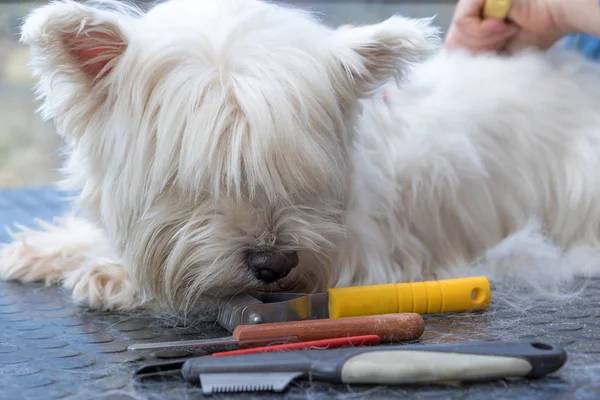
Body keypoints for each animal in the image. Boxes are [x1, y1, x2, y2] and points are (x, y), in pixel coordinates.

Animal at [1, 0, 600, 312]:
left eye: (307, 174)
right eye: (198, 177)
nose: (275, 264)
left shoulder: (367, 258)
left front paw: (113, 274)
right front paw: (46, 249)